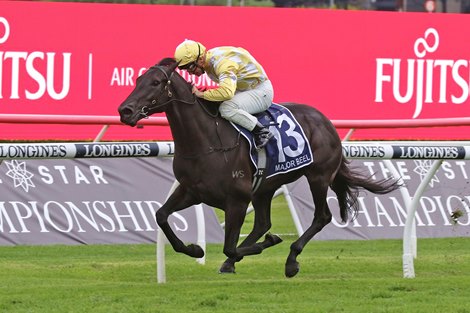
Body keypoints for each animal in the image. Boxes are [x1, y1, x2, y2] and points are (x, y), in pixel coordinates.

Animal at [118, 58, 400, 276]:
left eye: (155, 82)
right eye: (137, 80)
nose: (125, 110)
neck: (207, 141)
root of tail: (324, 120)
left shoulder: (237, 200)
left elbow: (230, 245)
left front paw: (266, 244)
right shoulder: (191, 191)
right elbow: (161, 216)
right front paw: (195, 249)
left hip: (318, 177)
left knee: (321, 217)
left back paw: (290, 260)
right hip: (265, 187)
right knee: (263, 223)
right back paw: (236, 261)